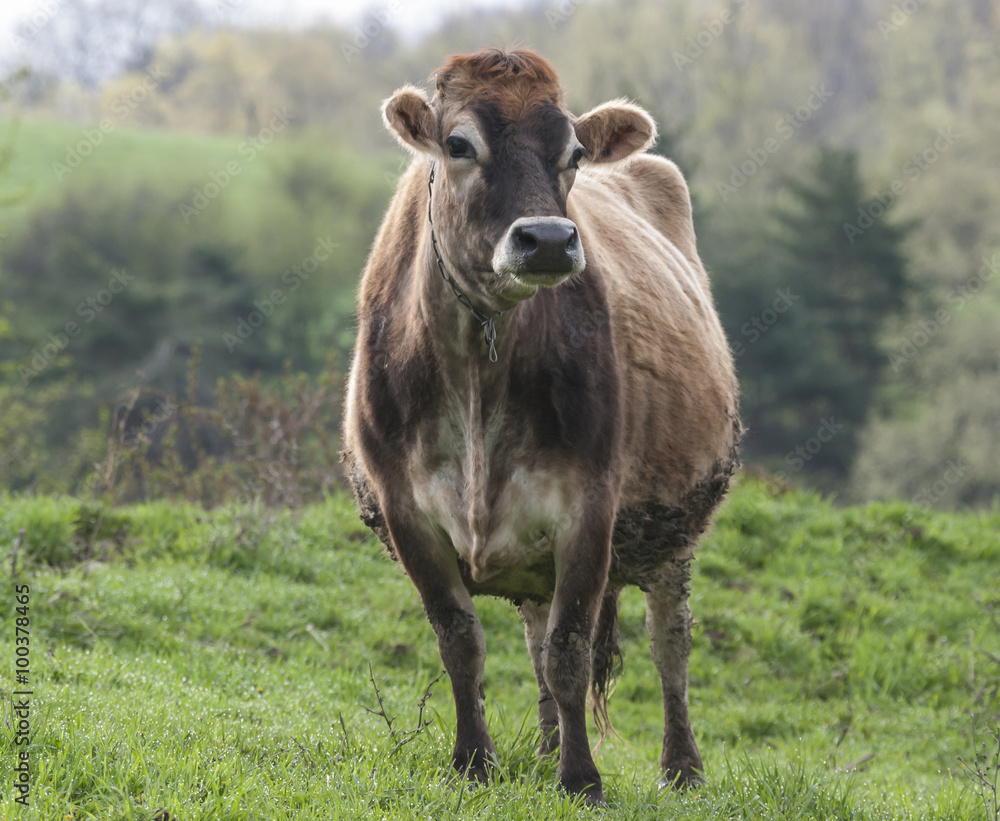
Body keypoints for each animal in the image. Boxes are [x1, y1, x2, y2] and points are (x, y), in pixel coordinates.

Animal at [340, 48, 740, 804]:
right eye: (458, 144)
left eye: (574, 152)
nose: (549, 239)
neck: (478, 366)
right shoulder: (406, 508)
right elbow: (462, 641)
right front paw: (475, 760)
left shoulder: (589, 507)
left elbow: (571, 650)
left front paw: (581, 778)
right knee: (534, 631)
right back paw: (546, 744)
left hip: (677, 523)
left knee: (668, 641)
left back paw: (682, 767)